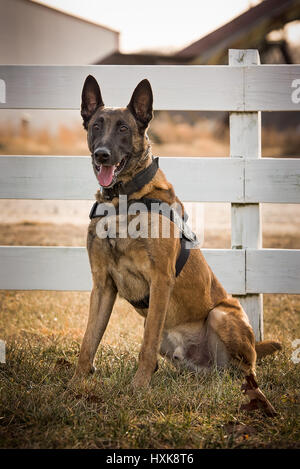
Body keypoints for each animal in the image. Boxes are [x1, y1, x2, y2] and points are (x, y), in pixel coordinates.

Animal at [75, 77, 282, 416]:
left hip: (221, 316)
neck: (122, 200)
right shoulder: (103, 284)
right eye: (96, 126)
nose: (102, 155)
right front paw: (75, 385)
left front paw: (137, 389)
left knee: (249, 371)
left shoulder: (160, 281)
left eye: (123, 128)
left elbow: (144, 346)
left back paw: (256, 396)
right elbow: (88, 341)